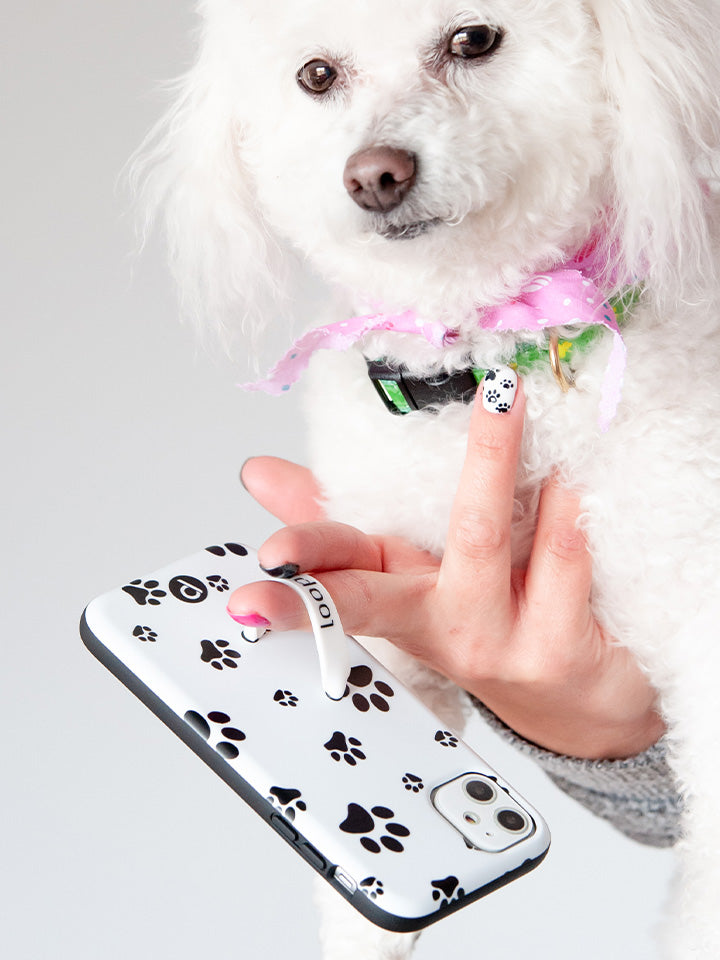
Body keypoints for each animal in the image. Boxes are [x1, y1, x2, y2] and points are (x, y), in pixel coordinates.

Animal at [136, 0, 720, 956]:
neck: (486, 359)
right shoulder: (393, 641)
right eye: (317, 75)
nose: (375, 175)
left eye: (473, 39)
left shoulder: (694, 611)